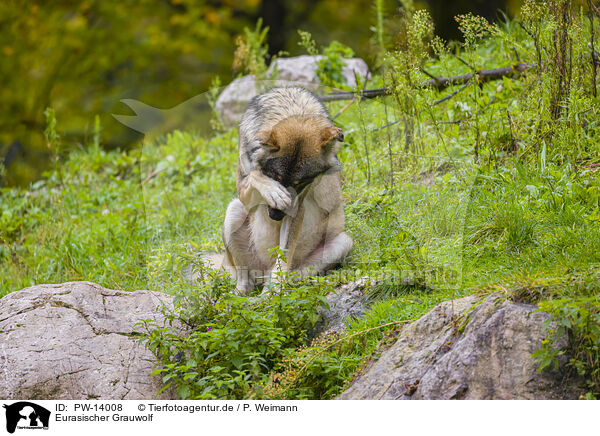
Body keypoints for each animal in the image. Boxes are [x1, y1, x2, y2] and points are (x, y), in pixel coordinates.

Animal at [219, 85, 352, 292]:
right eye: (275, 176)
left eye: (300, 183)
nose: (275, 216)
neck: (292, 107)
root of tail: (263, 271)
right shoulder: (242, 188)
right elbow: (255, 176)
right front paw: (273, 192)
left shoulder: (299, 205)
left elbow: (284, 255)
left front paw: (273, 292)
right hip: (234, 211)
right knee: (245, 278)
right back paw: (242, 292)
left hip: (343, 242)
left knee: (291, 274)